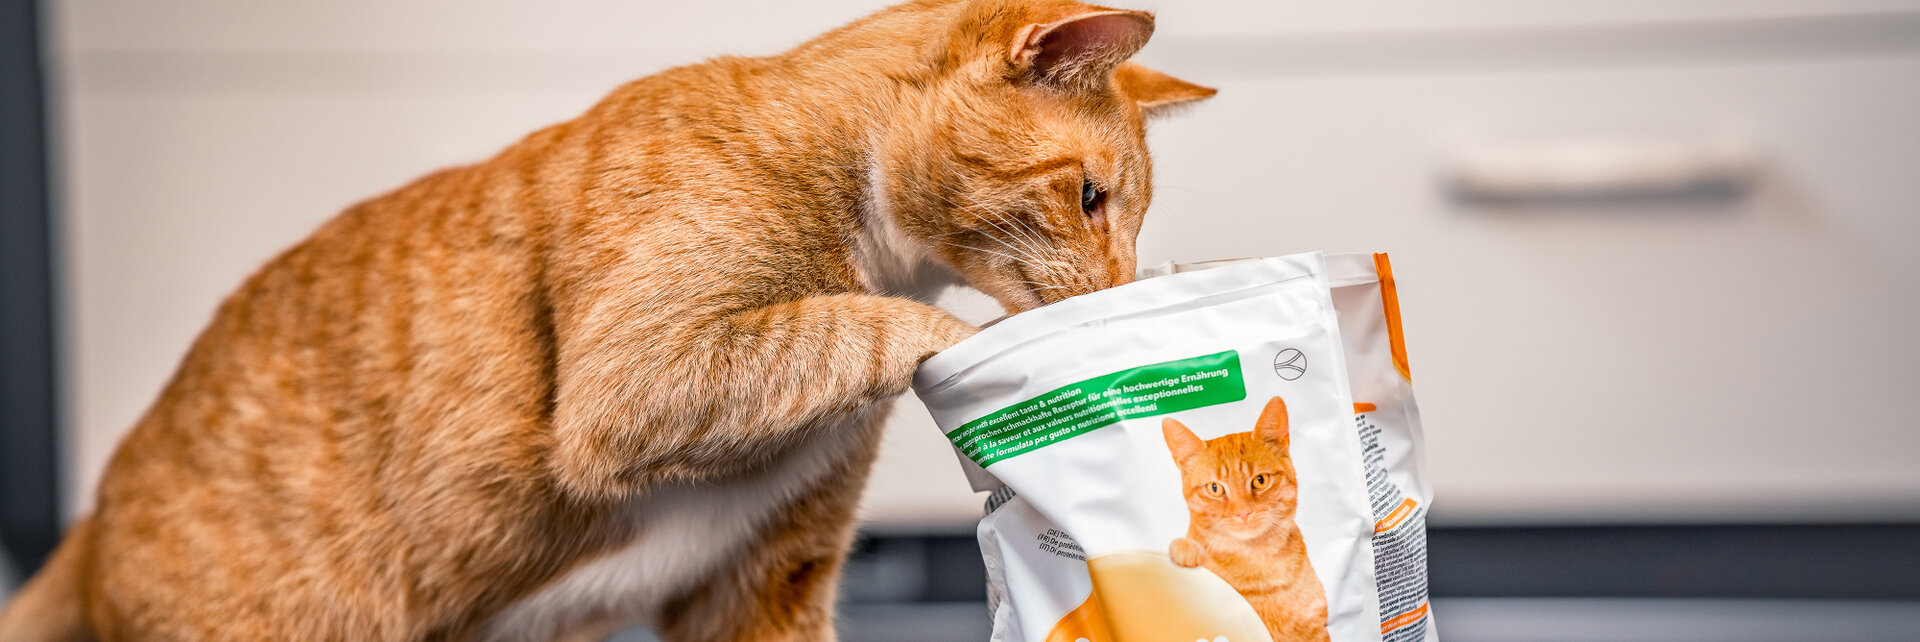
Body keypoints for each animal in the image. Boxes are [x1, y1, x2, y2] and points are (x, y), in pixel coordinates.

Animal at [3, 1, 1213, 642]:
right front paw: (990, 360)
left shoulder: (765, 584)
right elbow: (856, 324)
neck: (884, 250)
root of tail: (92, 520)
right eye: (1092, 198)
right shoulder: (636, 375)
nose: (1119, 287)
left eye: (1133, 215)